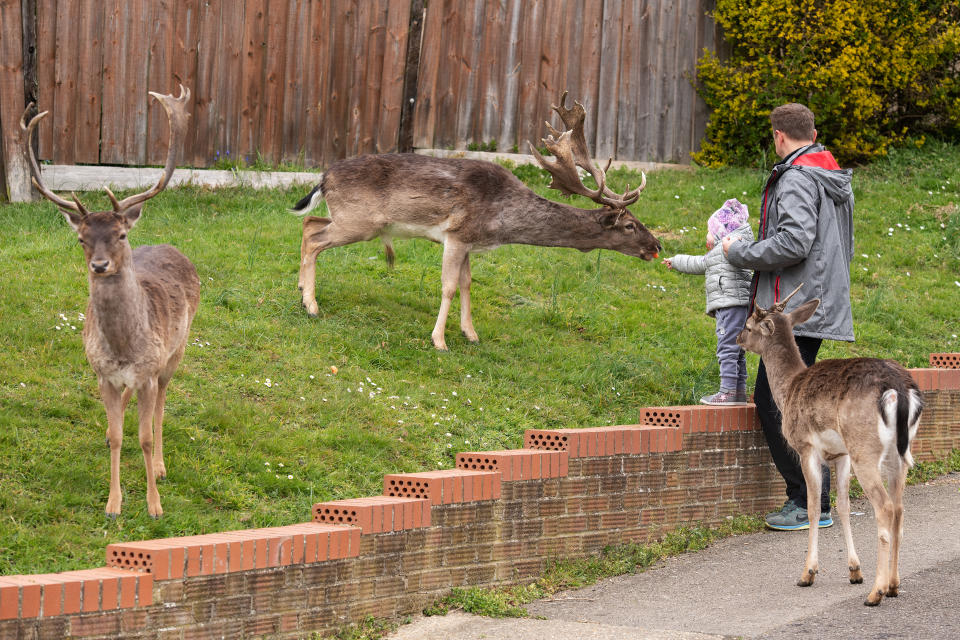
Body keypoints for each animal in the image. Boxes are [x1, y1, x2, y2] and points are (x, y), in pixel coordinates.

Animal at [22, 85, 200, 516]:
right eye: (81, 239)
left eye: (120, 234)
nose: (100, 265)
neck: (124, 349)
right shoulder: (102, 374)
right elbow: (120, 436)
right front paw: (113, 503)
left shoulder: (149, 371)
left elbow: (145, 436)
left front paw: (154, 505)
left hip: (176, 352)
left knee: (163, 404)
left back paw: (162, 466)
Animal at [292, 92, 660, 350]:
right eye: (629, 225)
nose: (656, 244)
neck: (501, 220)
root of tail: (324, 178)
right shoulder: (456, 234)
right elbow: (449, 286)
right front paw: (439, 341)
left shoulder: (469, 243)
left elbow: (468, 284)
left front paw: (471, 334)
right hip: (361, 222)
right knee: (314, 238)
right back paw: (311, 305)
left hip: (348, 217)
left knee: (309, 223)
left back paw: (301, 288)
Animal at [736, 284, 924, 604]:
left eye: (748, 325)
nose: (737, 338)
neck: (788, 390)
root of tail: (899, 389)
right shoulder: (841, 453)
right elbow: (843, 505)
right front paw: (854, 571)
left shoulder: (806, 447)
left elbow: (813, 506)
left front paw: (808, 573)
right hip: (898, 454)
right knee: (899, 509)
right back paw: (894, 585)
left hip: (865, 447)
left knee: (885, 507)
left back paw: (876, 592)